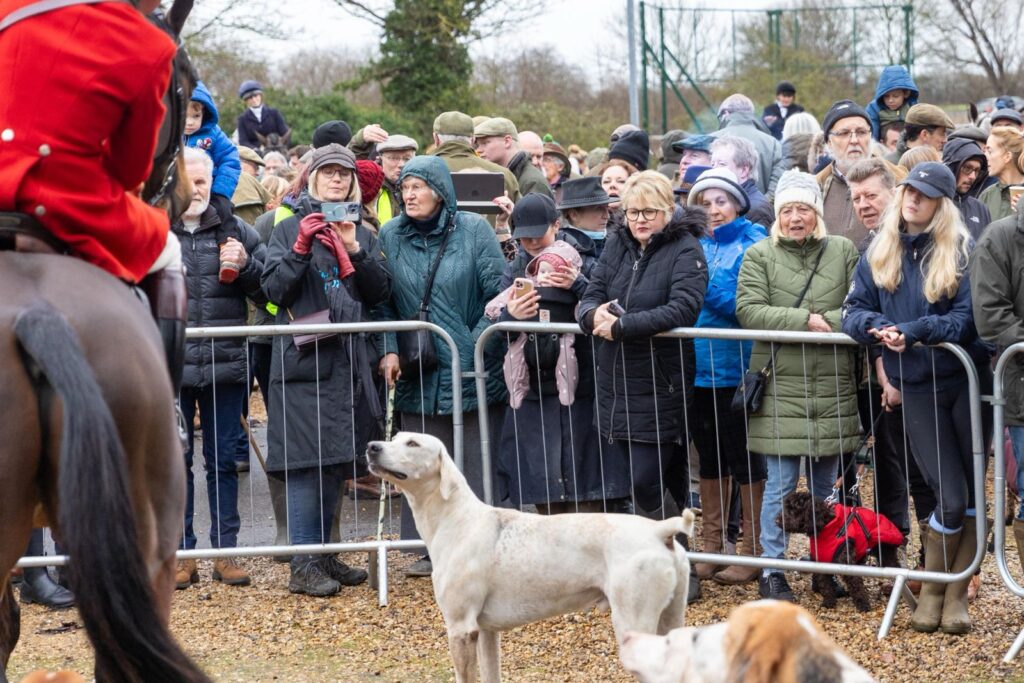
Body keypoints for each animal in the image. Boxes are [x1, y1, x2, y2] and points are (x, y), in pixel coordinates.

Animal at [366, 432, 696, 683]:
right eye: (394, 437)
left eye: (412, 443)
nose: (372, 446)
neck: (456, 519)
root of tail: (659, 530)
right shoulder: (485, 632)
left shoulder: (461, 628)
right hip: (670, 617)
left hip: (632, 622)